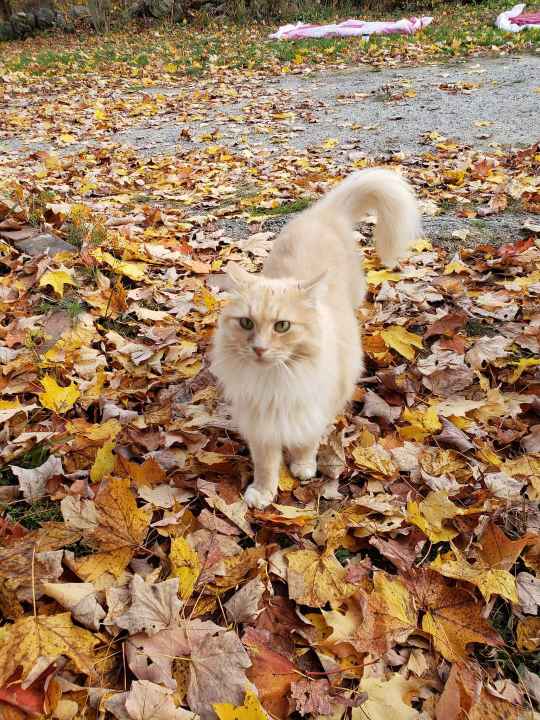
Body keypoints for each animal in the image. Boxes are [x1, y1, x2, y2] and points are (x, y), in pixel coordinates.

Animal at [211, 168, 420, 508]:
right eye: (246, 323)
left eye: (282, 326)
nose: (259, 349)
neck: (278, 381)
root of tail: (323, 212)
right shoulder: (260, 424)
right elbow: (266, 463)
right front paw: (263, 492)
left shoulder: (315, 409)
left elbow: (306, 442)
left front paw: (303, 466)